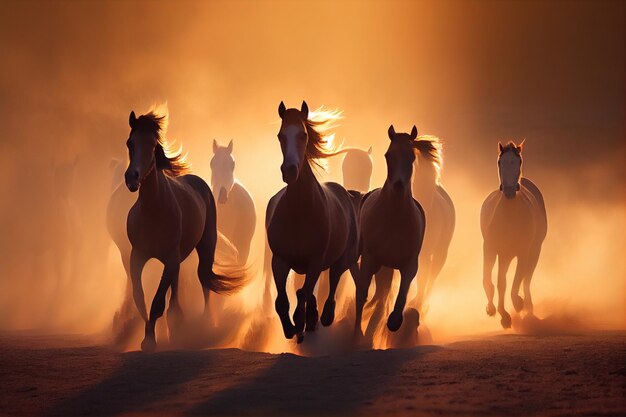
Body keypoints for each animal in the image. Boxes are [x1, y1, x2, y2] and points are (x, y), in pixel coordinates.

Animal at [123, 108, 245, 352]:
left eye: (152, 144)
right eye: (130, 142)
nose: (132, 178)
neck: (154, 210)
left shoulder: (170, 257)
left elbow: (157, 301)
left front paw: (150, 340)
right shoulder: (137, 256)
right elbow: (139, 296)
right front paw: (148, 335)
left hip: (205, 247)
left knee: (204, 280)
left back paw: (205, 324)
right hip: (176, 260)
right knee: (176, 292)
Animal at [266, 101, 358, 342]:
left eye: (303, 135)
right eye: (280, 135)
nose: (289, 171)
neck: (300, 212)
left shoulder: (316, 262)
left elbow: (303, 294)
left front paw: (300, 323)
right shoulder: (279, 261)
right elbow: (282, 301)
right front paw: (290, 328)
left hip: (342, 259)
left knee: (332, 282)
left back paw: (323, 317)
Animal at [354, 126, 426, 338]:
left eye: (411, 156)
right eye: (388, 155)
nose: (398, 186)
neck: (394, 217)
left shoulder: (409, 264)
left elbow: (402, 293)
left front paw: (394, 321)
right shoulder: (370, 259)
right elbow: (361, 293)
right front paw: (356, 334)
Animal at [480, 141, 544, 328]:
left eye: (518, 161)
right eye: (499, 162)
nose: (508, 190)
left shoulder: (523, 251)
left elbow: (517, 280)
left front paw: (517, 304)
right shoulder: (491, 249)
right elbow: (491, 281)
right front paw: (495, 311)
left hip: (534, 250)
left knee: (526, 278)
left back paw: (527, 307)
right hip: (505, 255)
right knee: (504, 280)